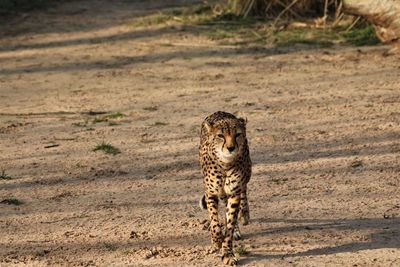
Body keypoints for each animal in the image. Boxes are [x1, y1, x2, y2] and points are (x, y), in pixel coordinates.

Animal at [199, 111, 252, 266]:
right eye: (221, 135)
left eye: (237, 134)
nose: (231, 148)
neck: (225, 164)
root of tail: (221, 112)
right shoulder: (210, 193)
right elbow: (214, 221)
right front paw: (217, 241)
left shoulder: (234, 193)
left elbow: (230, 223)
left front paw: (227, 253)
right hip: (221, 194)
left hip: (246, 173)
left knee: (243, 191)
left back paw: (243, 215)